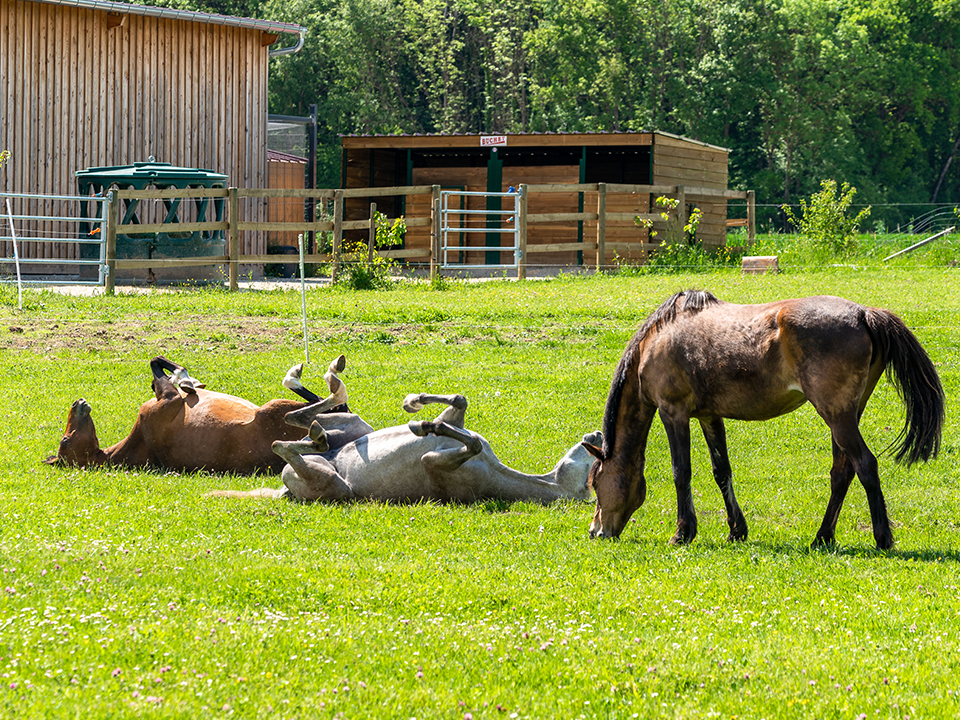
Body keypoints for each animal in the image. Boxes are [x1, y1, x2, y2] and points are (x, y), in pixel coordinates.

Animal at [47, 352, 374, 476]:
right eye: (65, 441)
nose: (77, 403)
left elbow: (160, 366)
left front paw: (189, 381)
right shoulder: (166, 401)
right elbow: (158, 367)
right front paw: (185, 378)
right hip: (277, 410)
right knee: (330, 403)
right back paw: (325, 379)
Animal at [210, 390, 600, 504]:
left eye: (592, 473)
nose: (597, 435)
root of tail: (284, 491)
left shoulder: (433, 461)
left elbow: (469, 442)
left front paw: (425, 424)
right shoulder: (456, 420)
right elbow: (459, 404)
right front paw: (416, 409)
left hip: (332, 484)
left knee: (285, 445)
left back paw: (315, 437)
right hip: (356, 427)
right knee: (301, 419)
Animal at [584, 290, 944, 548]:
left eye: (595, 482)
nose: (595, 531)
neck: (659, 340)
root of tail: (863, 313)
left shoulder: (673, 412)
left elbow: (681, 472)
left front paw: (683, 533)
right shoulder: (709, 416)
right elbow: (721, 471)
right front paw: (736, 531)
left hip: (837, 415)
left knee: (865, 464)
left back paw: (882, 538)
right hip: (846, 416)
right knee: (842, 472)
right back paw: (822, 537)